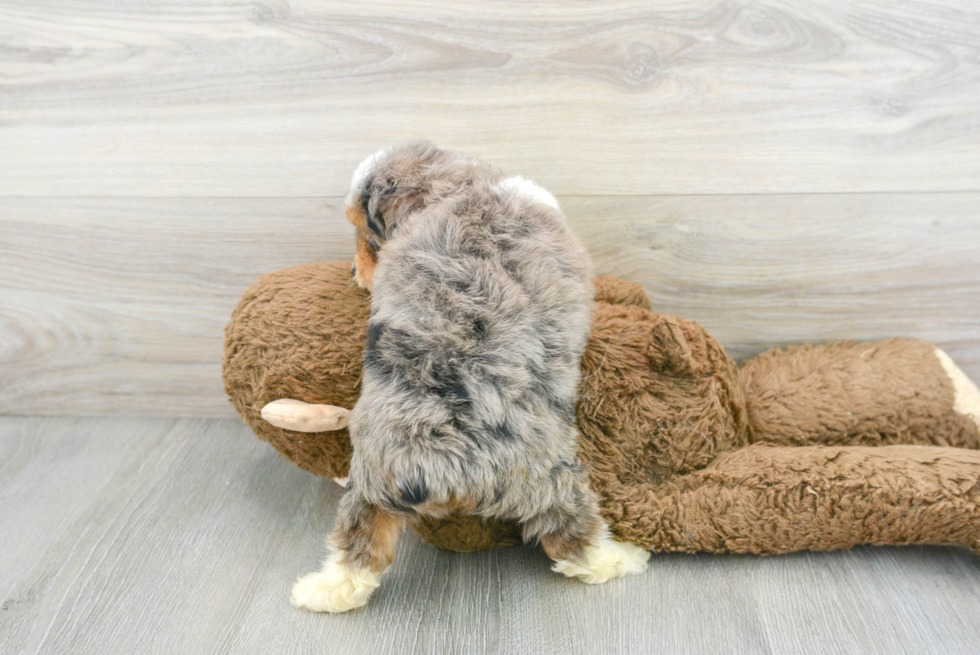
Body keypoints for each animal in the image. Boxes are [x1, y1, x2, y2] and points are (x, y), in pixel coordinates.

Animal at [290, 142, 652, 616]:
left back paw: (319, 591)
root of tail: (437, 466)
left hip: (370, 485)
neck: (460, 187)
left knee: (357, 552)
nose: (354, 273)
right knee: (575, 541)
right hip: (554, 482)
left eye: (368, 236)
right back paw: (625, 558)